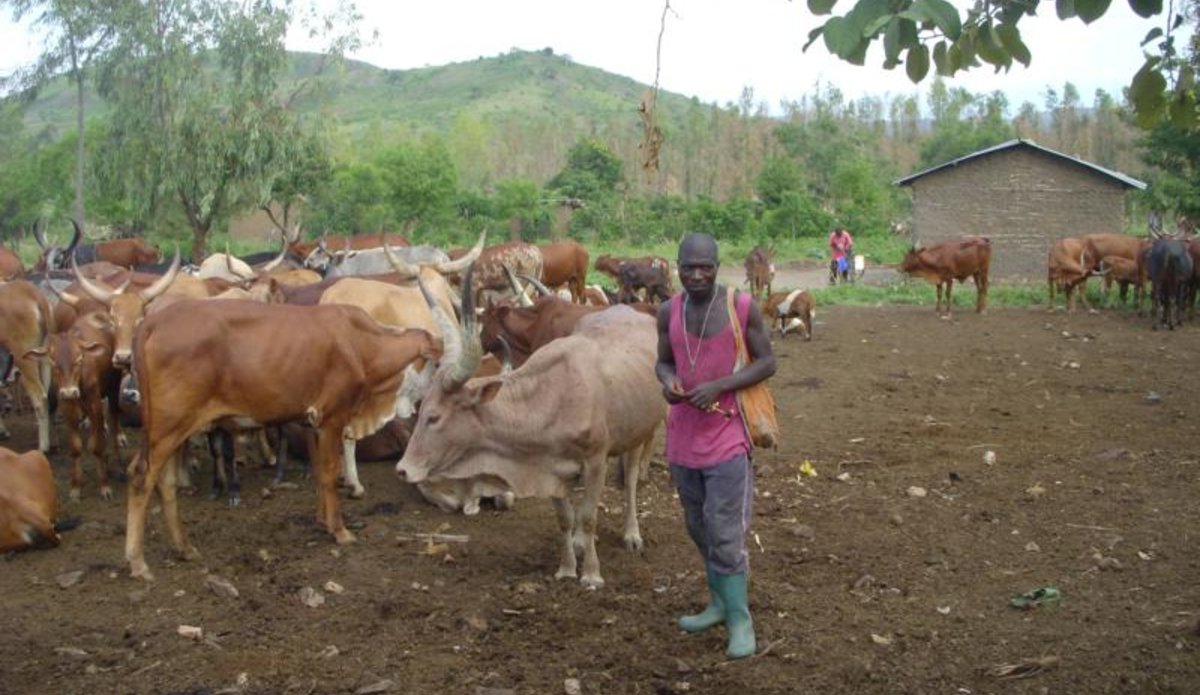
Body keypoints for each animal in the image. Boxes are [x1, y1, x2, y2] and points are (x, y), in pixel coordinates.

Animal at [0, 278, 55, 451]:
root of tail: (34, 294)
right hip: (43, 357)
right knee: (47, 395)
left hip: (24, 358)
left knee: (39, 397)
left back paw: (43, 447)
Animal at [125, 301, 441, 578]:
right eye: (437, 364)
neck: (361, 344)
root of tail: (154, 320)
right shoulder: (332, 419)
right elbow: (329, 473)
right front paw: (340, 531)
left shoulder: (311, 423)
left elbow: (319, 473)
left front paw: (323, 522)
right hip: (168, 428)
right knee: (141, 478)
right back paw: (138, 562)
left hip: (172, 432)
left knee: (165, 483)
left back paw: (185, 548)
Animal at [400, 274, 667, 590]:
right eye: (421, 411)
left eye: (434, 417)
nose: (403, 469)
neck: (553, 396)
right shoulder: (551, 468)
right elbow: (565, 518)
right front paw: (567, 568)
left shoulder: (595, 462)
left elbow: (589, 516)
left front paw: (591, 574)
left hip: (637, 432)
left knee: (631, 480)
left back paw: (631, 533)